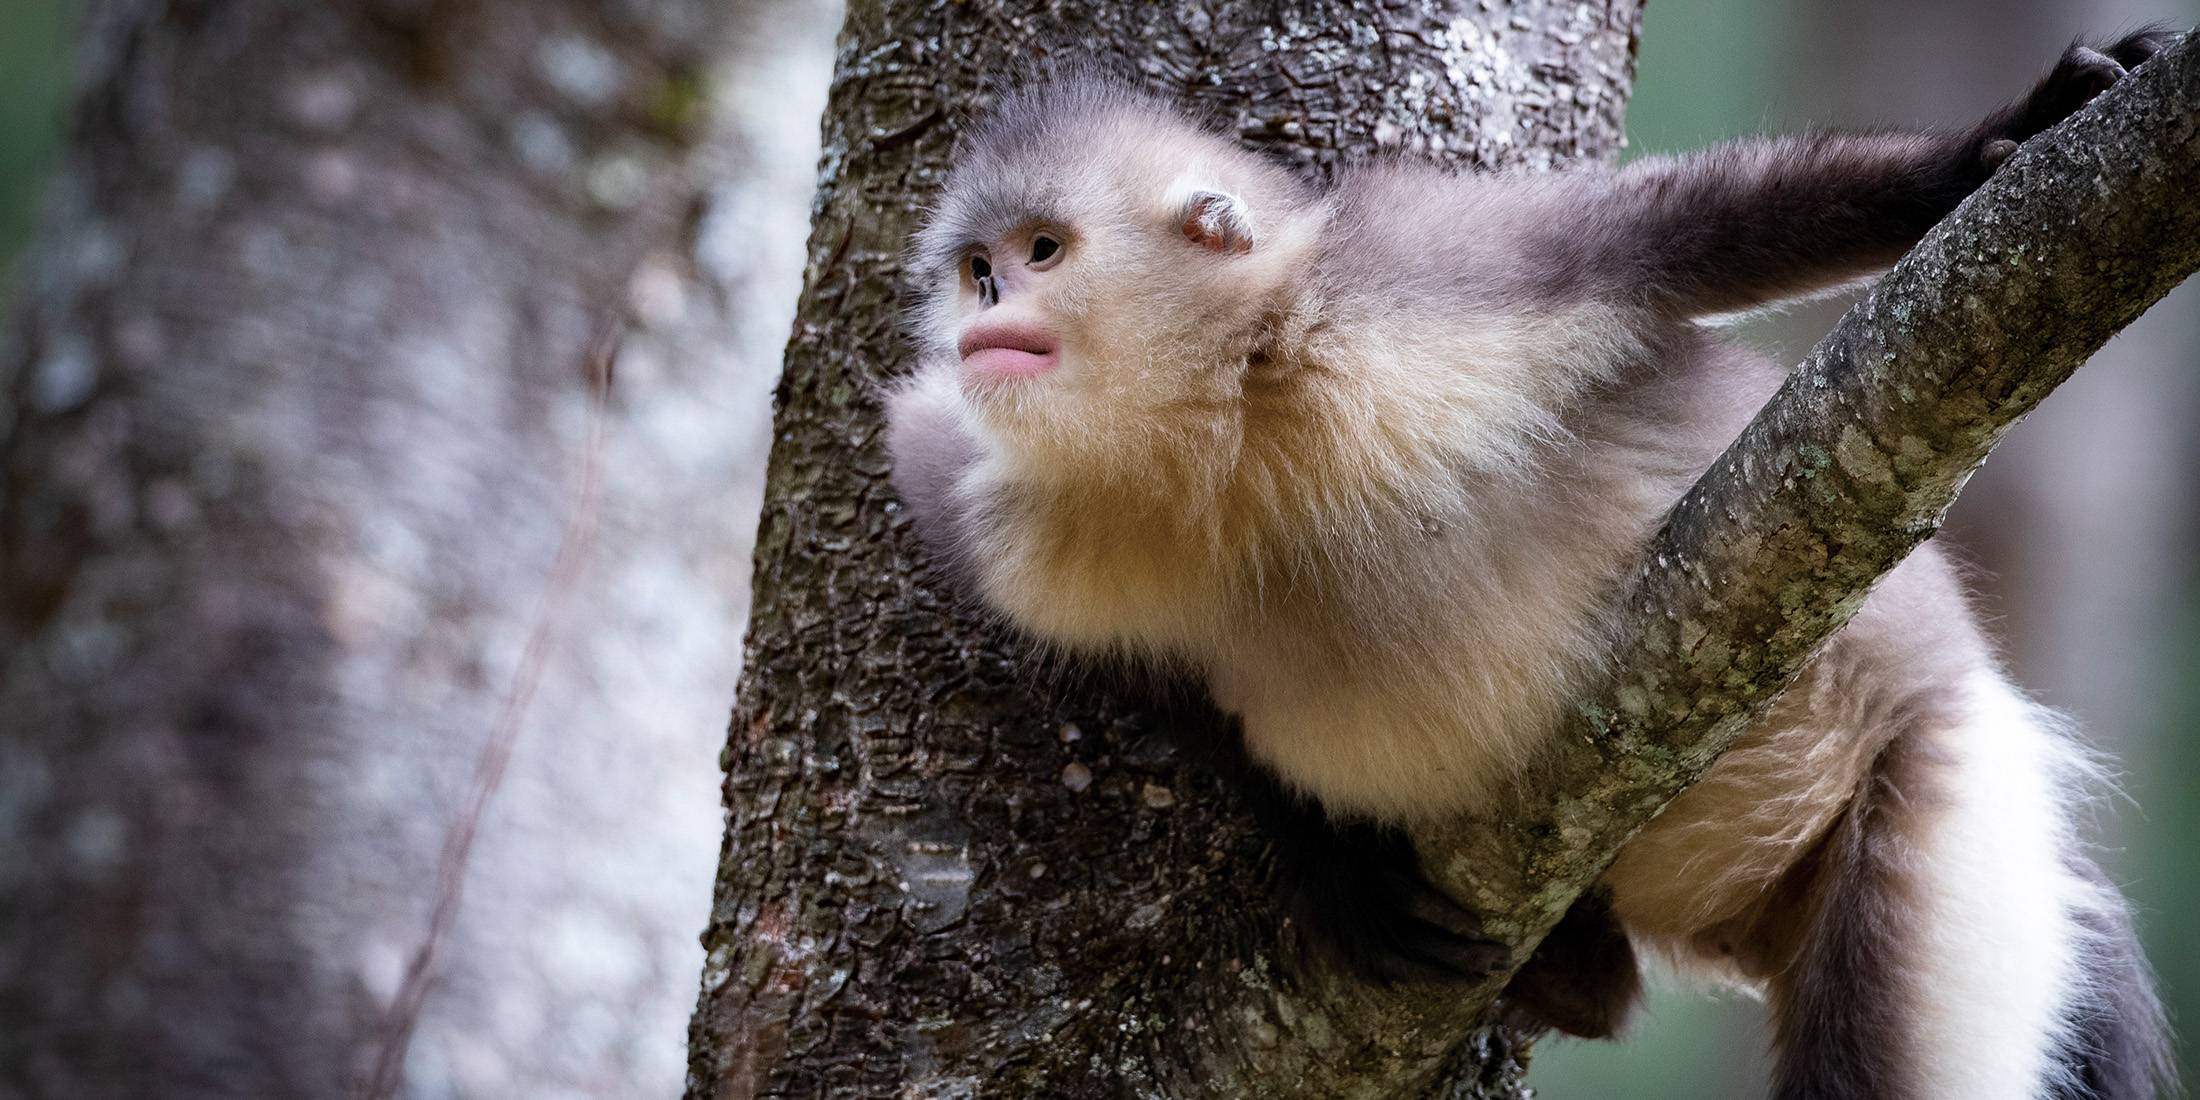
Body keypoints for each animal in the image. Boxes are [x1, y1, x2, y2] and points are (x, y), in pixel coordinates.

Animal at [883, 30, 2178, 1100]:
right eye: (977, 271)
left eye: (1042, 252)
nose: (984, 316)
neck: (1220, 420)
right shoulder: (990, 509)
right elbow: (1161, 687)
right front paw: (1337, 869)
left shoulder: (1425, 265)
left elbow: (1669, 235)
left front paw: (2004, 138)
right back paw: (1575, 969)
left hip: (1936, 809)